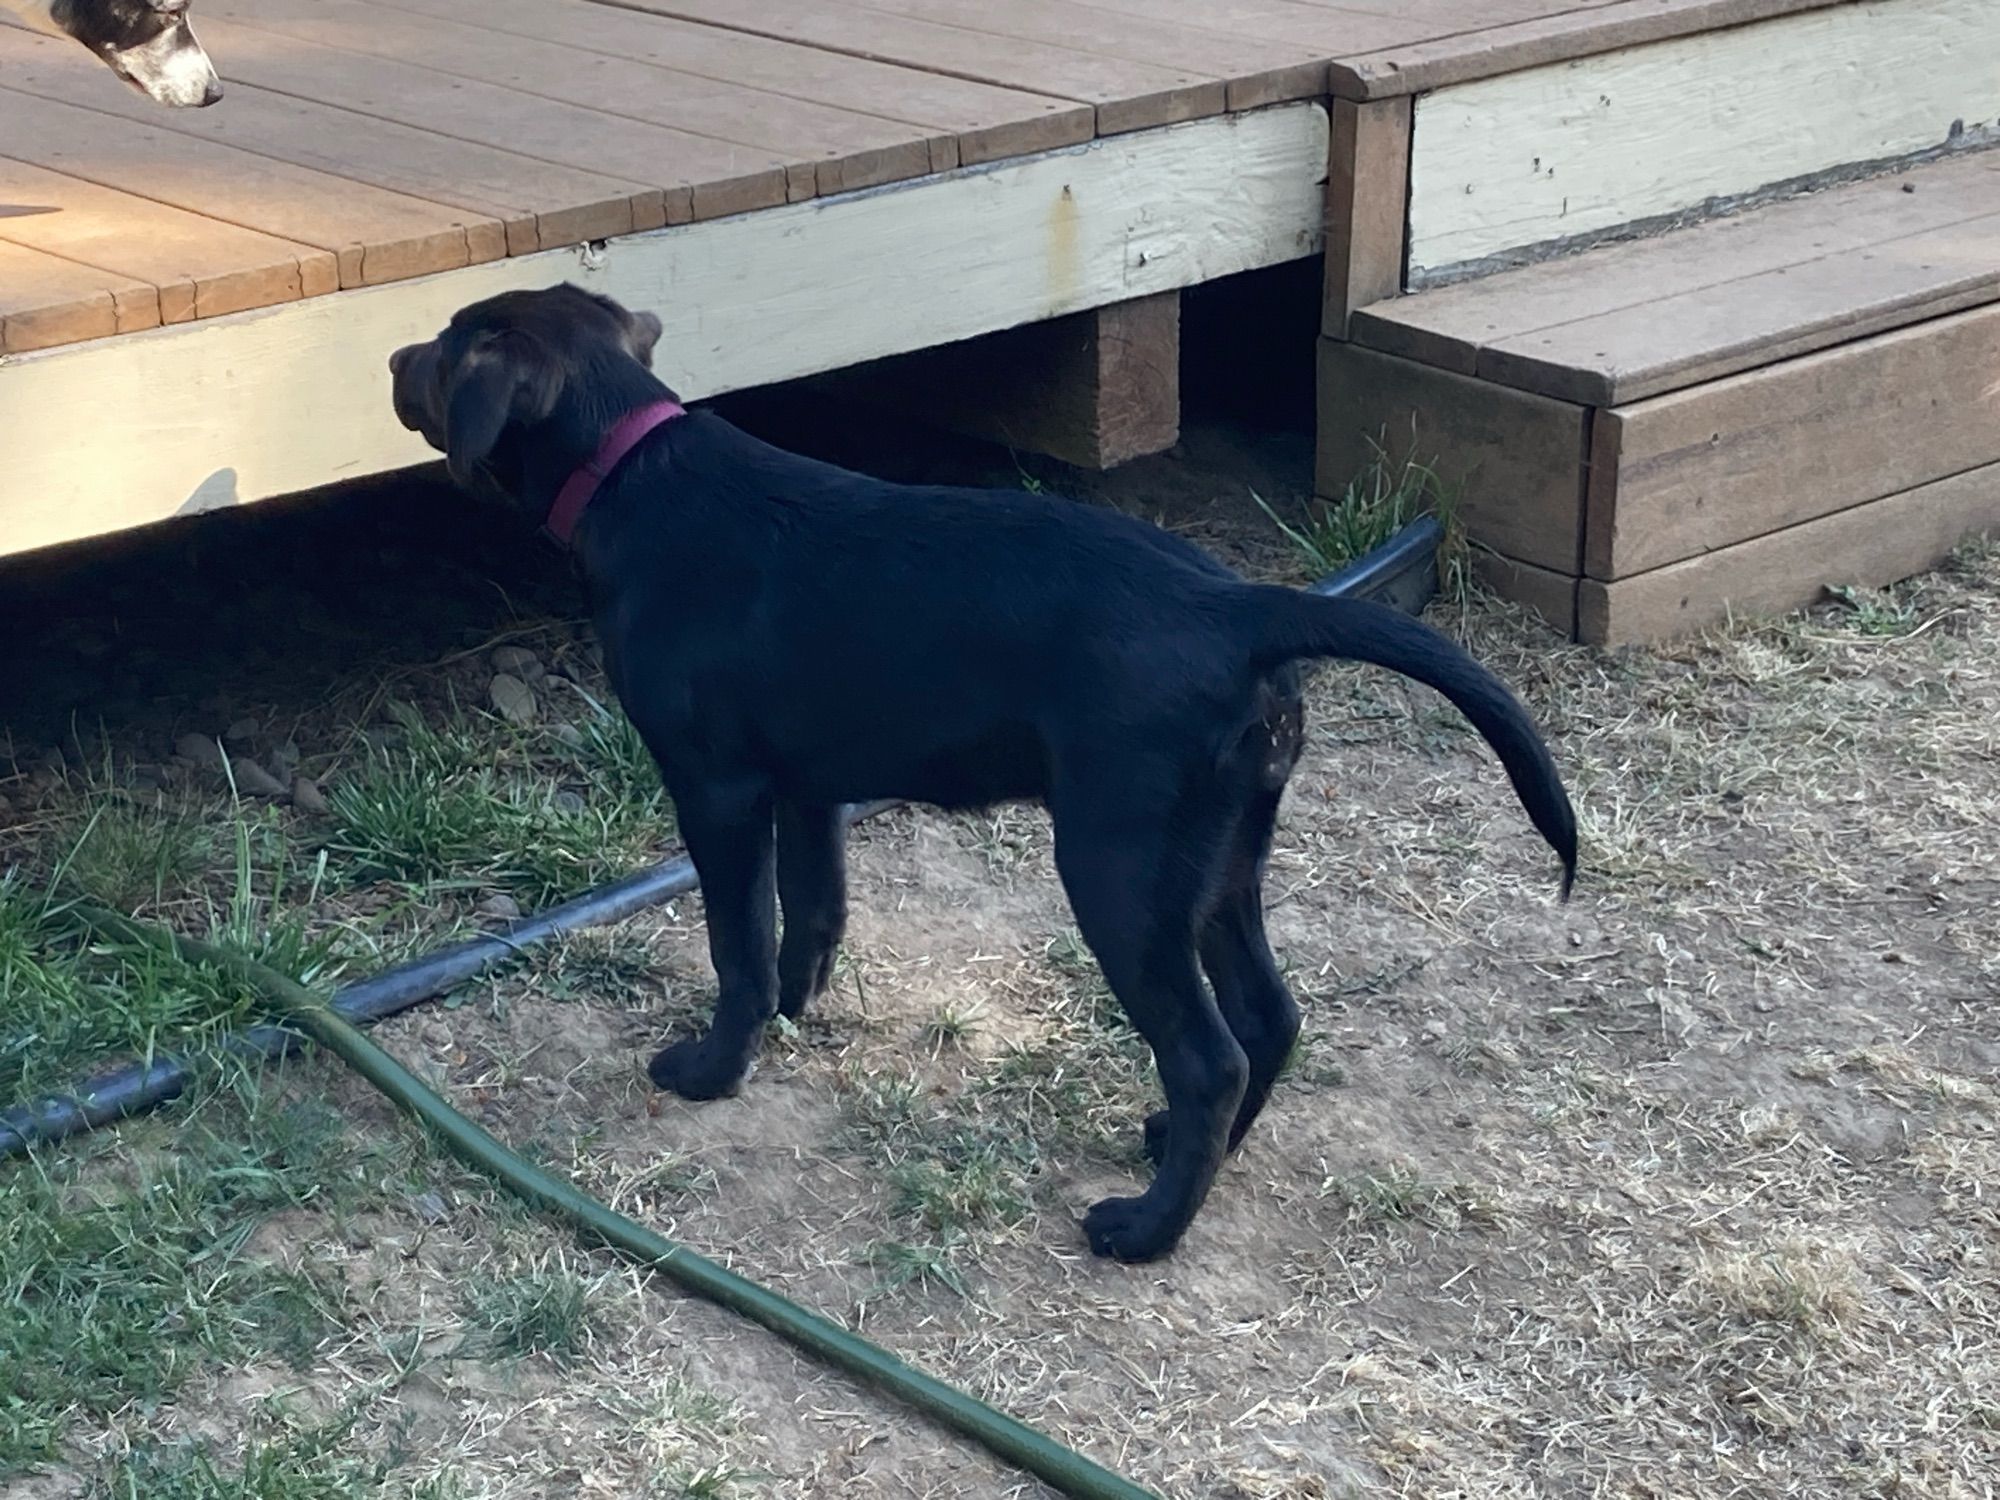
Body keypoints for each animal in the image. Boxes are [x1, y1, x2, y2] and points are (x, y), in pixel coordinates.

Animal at [390, 284, 1576, 1272]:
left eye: (444, 347)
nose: (392, 355)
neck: (634, 469)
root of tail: (1240, 609)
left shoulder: (716, 789)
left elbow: (738, 944)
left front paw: (714, 1068)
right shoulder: (807, 783)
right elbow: (811, 914)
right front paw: (795, 1015)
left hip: (1117, 867)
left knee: (1211, 1056)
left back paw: (1146, 1229)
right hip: (1218, 858)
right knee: (1269, 1018)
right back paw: (1185, 1156)